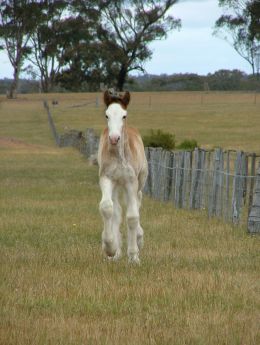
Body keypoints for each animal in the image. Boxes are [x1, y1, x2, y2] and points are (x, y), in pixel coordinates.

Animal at [97, 90, 147, 262]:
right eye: (106, 115)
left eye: (124, 115)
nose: (114, 138)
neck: (118, 156)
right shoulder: (106, 178)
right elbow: (107, 208)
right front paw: (110, 248)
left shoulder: (131, 182)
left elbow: (132, 216)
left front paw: (133, 256)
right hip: (117, 184)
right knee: (117, 210)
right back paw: (116, 252)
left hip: (140, 181)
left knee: (138, 203)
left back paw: (139, 238)